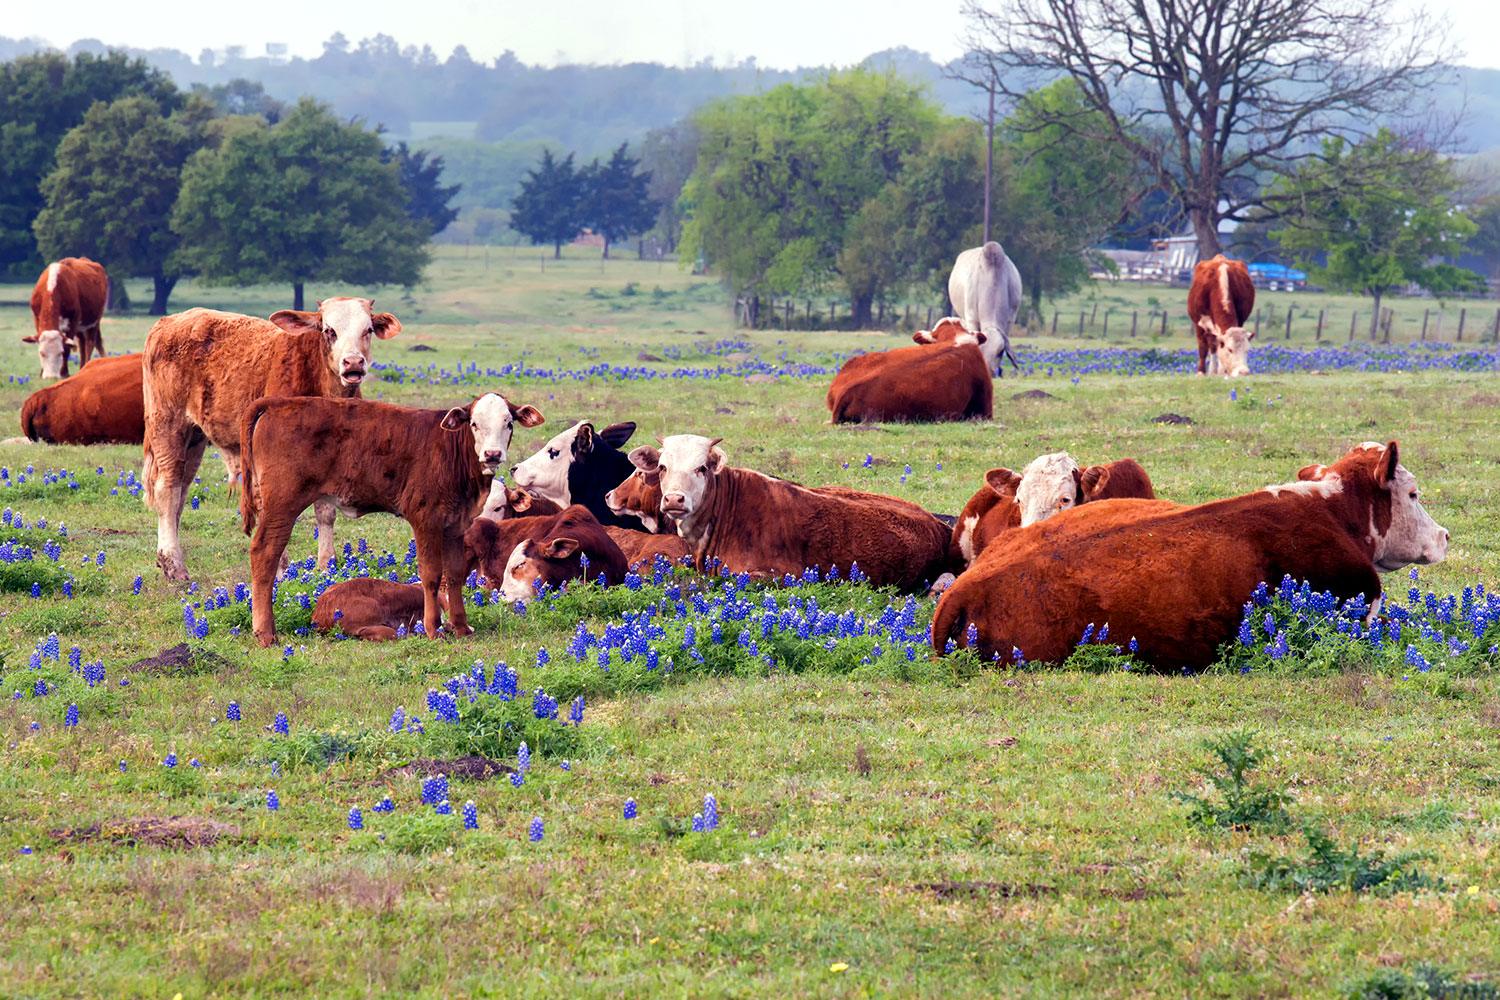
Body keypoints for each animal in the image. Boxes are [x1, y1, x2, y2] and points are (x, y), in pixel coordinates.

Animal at [142, 299, 403, 580]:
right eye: (329, 330)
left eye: (368, 330)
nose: (353, 363)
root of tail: (167, 323)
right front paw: (280, 568)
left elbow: (325, 511)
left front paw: (326, 564)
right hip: (168, 425)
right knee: (167, 490)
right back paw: (173, 564)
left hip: (194, 440)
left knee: (180, 493)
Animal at [238, 392, 543, 646]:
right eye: (475, 424)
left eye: (508, 423)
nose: (492, 454)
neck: (452, 453)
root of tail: (278, 403)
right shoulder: (426, 519)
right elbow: (431, 575)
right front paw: (433, 628)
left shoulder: (456, 524)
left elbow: (455, 575)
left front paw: (460, 626)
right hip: (283, 505)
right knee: (264, 553)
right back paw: (266, 633)